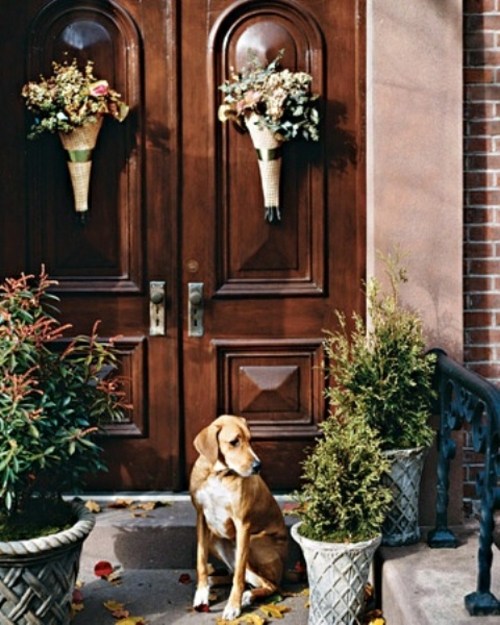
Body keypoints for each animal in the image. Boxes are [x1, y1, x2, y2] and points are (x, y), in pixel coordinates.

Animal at [188, 414, 290, 620]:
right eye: (234, 442)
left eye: (250, 440)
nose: (258, 466)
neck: (217, 475)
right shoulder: (201, 518)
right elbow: (201, 561)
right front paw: (201, 593)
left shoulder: (243, 524)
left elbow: (239, 576)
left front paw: (233, 605)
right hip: (214, 539)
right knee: (235, 571)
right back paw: (213, 580)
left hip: (254, 543)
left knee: (271, 585)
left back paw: (248, 596)